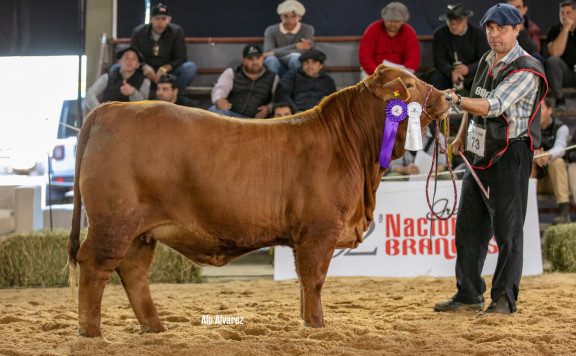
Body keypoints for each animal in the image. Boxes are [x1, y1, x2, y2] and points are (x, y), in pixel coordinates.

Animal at [67, 65, 452, 336]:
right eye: (411, 83)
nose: (450, 97)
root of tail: (112, 107)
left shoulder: (305, 236)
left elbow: (304, 282)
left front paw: (308, 324)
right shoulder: (320, 230)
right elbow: (314, 279)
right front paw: (318, 326)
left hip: (140, 231)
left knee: (133, 271)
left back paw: (155, 328)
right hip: (113, 221)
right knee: (95, 265)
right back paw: (90, 333)